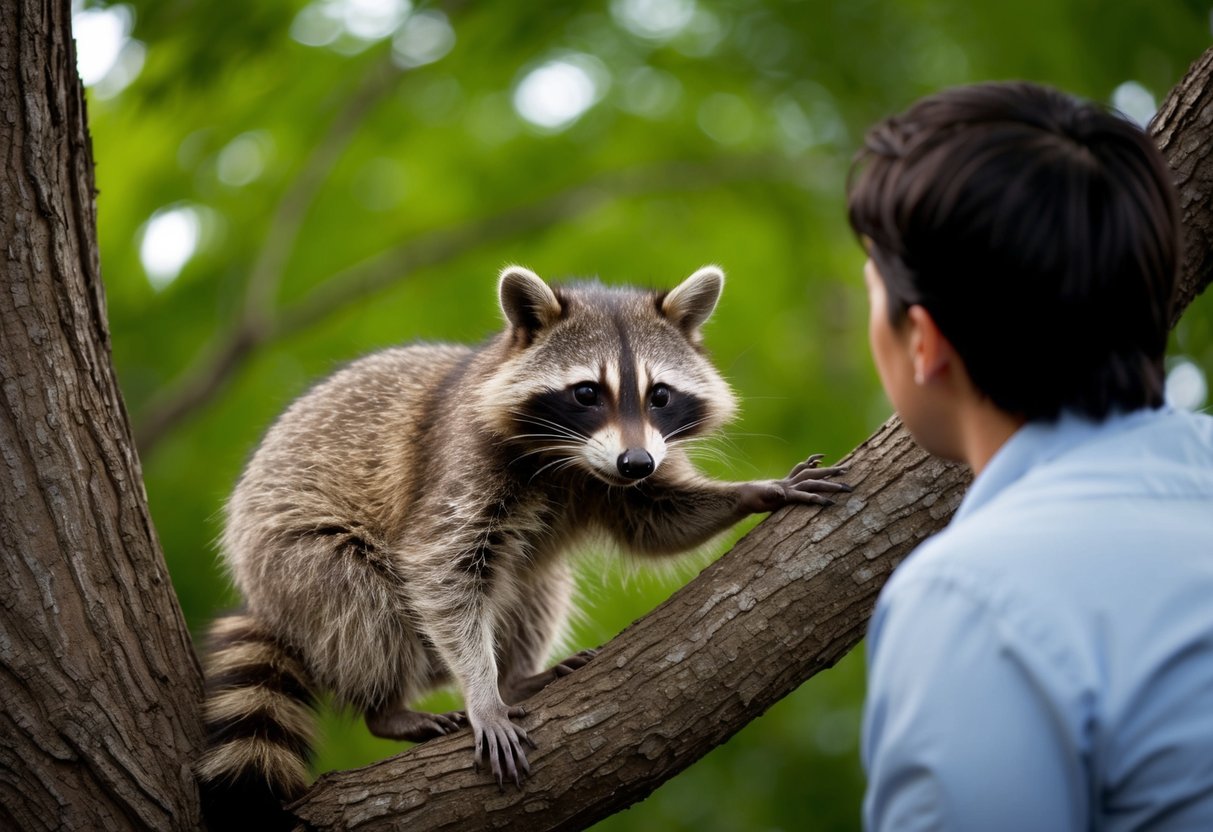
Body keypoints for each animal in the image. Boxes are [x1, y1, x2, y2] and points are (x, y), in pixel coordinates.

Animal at [196, 265, 848, 826]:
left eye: (660, 395)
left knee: (536, 587)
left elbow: (655, 520)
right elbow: (441, 572)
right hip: (292, 559)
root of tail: (263, 599)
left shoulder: (621, 478)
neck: (573, 461)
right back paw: (392, 706)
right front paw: (483, 693)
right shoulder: (459, 463)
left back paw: (517, 677)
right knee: (362, 601)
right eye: (587, 392)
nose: (636, 463)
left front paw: (752, 493)